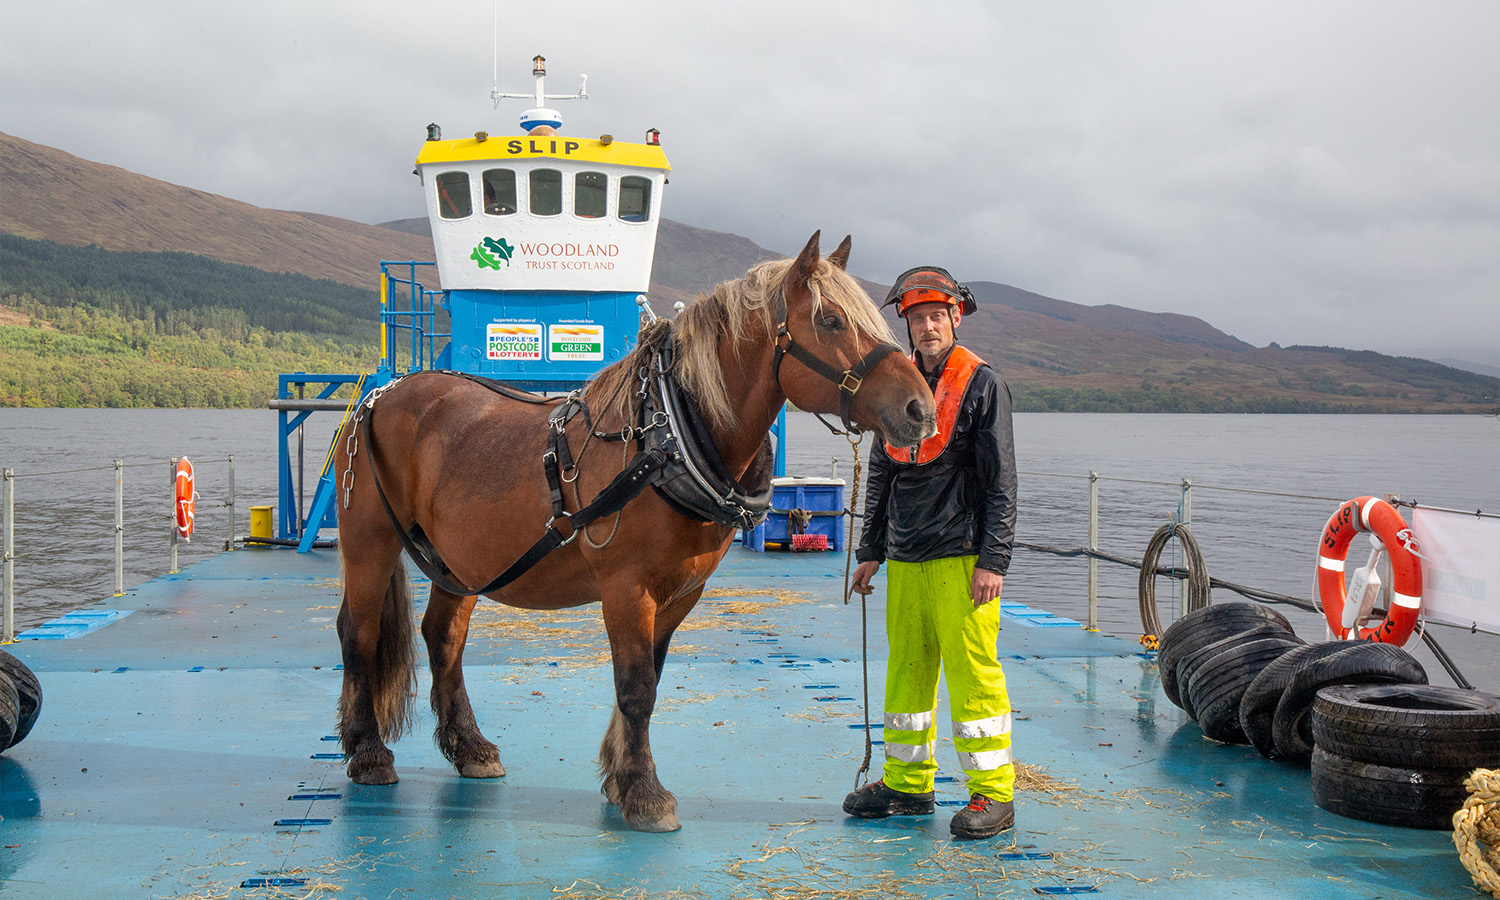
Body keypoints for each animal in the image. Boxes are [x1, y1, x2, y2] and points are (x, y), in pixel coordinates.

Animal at [334, 231, 930, 828]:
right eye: (831, 321)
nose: (920, 409)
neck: (665, 437)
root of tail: (375, 398)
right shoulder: (626, 586)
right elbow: (636, 686)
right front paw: (644, 791)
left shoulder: (683, 591)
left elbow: (651, 678)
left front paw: (620, 778)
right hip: (370, 544)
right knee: (358, 634)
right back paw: (368, 753)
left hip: (459, 559)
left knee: (443, 637)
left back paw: (469, 747)